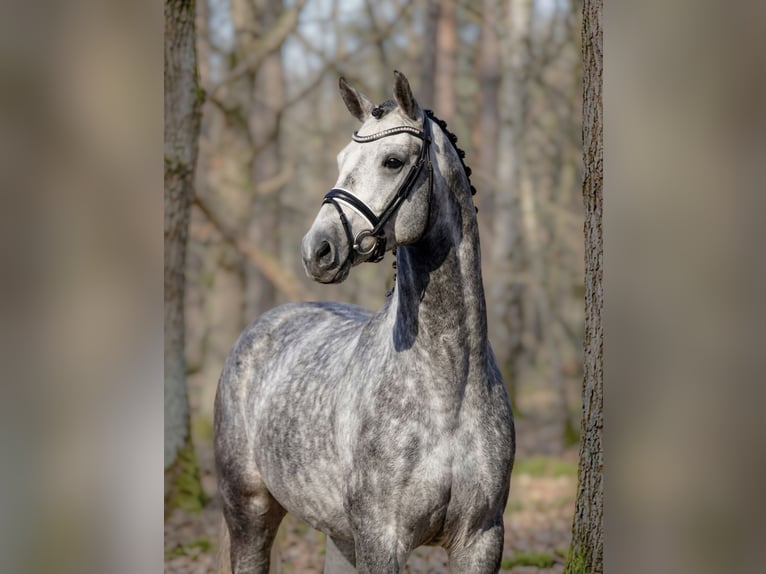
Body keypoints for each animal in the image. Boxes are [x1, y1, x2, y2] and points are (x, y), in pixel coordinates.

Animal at [214, 71, 515, 574]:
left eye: (393, 161)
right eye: (341, 159)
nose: (317, 249)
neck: (448, 388)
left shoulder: (481, 538)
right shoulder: (381, 538)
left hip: (339, 536)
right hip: (249, 513)